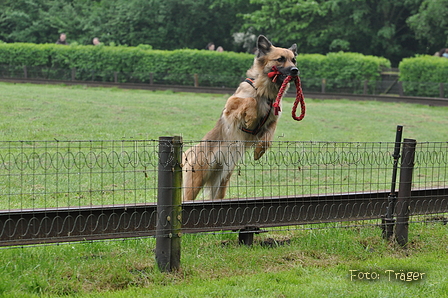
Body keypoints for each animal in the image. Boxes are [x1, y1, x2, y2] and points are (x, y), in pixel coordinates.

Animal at [182, 36, 298, 201]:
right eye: (280, 59)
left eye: (294, 60)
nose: (295, 70)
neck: (265, 92)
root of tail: (190, 151)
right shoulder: (231, 105)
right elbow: (251, 100)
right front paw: (250, 117)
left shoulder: (273, 121)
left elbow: (268, 139)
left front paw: (259, 151)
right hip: (195, 182)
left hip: (221, 183)